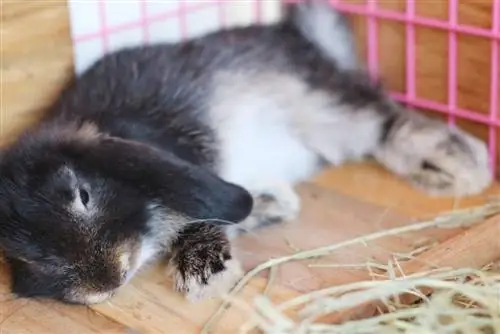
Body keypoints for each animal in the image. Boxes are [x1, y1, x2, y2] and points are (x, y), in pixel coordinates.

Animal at [0, 0, 492, 304]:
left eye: (82, 194)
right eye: (24, 255)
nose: (106, 282)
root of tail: (300, 39)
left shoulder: (195, 154)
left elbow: (197, 216)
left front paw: (206, 276)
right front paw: (273, 205)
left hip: (321, 104)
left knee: (387, 122)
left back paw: (461, 165)